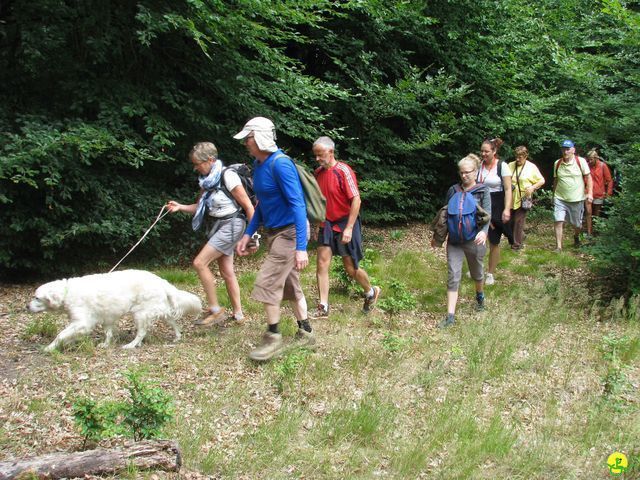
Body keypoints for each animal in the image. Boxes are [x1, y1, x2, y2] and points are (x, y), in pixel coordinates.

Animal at [26, 268, 202, 350]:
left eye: (37, 298)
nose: (26, 306)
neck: (67, 292)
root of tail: (160, 280)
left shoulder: (82, 323)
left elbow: (61, 335)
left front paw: (49, 348)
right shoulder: (107, 317)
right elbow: (108, 333)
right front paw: (105, 344)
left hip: (140, 313)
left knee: (141, 332)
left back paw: (131, 345)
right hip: (158, 311)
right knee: (173, 322)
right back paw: (177, 337)